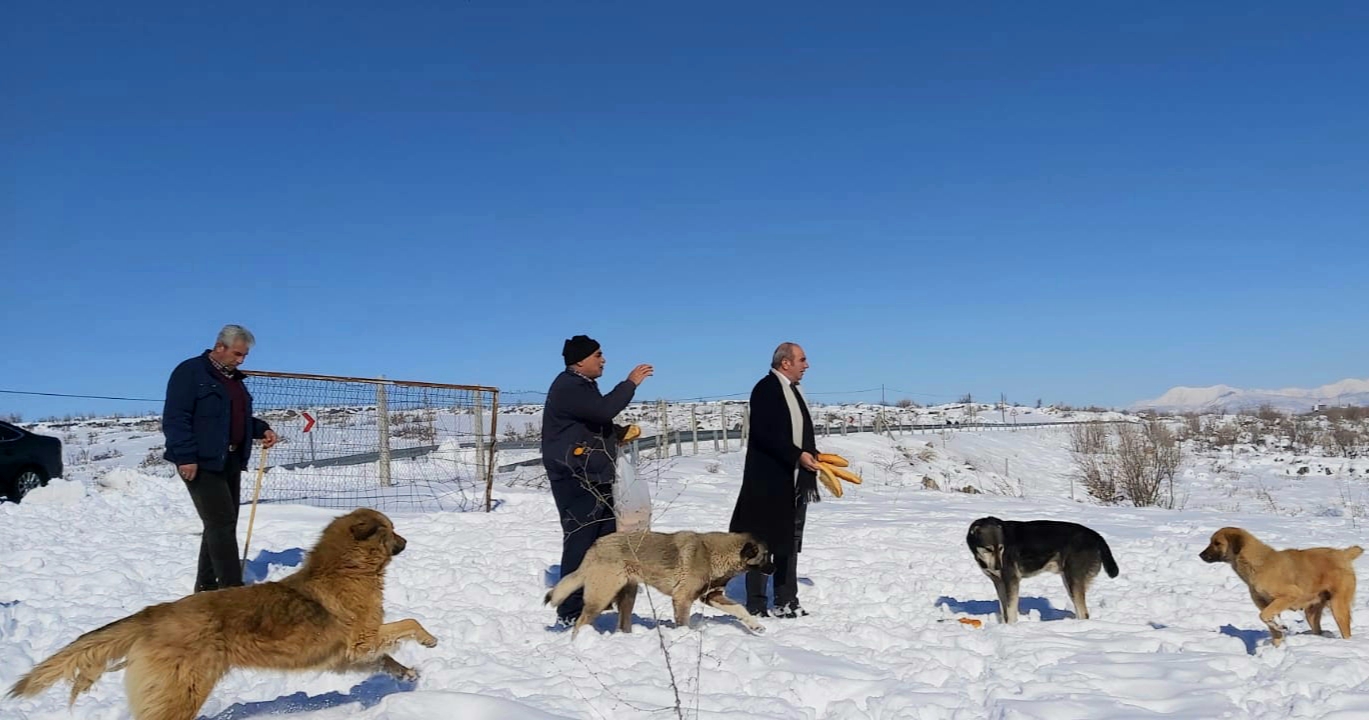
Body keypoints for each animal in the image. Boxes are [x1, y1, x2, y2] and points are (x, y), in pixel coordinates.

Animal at [8, 509, 435, 720]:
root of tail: (155, 612)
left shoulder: (347, 655)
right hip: (182, 691)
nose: (407, 541)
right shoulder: (361, 638)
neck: (346, 568)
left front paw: (408, 675)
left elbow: (387, 658)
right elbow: (408, 623)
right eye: (391, 531)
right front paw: (429, 639)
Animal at [547, 531, 783, 637]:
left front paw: (755, 625)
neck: (712, 554)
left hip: (627, 594)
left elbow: (740, 608)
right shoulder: (682, 598)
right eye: (765, 557)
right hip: (601, 595)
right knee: (580, 622)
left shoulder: (712, 596)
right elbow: (683, 622)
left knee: (622, 622)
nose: (775, 569)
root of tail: (595, 545)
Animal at [969, 517, 1117, 624]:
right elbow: (1003, 607)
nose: (999, 567)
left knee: (1084, 613)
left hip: (1073, 580)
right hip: (1068, 581)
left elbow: (1010, 611)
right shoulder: (999, 582)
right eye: (988, 549)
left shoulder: (1011, 580)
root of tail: (1096, 535)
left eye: (1001, 548)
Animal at [1199, 525, 1358, 648]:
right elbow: (1269, 624)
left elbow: (1263, 616)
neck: (1257, 563)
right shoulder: (1265, 603)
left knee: (1346, 632)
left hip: (1338, 606)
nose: (1200, 555)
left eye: (1217, 543)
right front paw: (1277, 645)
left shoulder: (1289, 595)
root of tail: (1343, 554)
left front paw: (1280, 627)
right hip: (1311, 611)